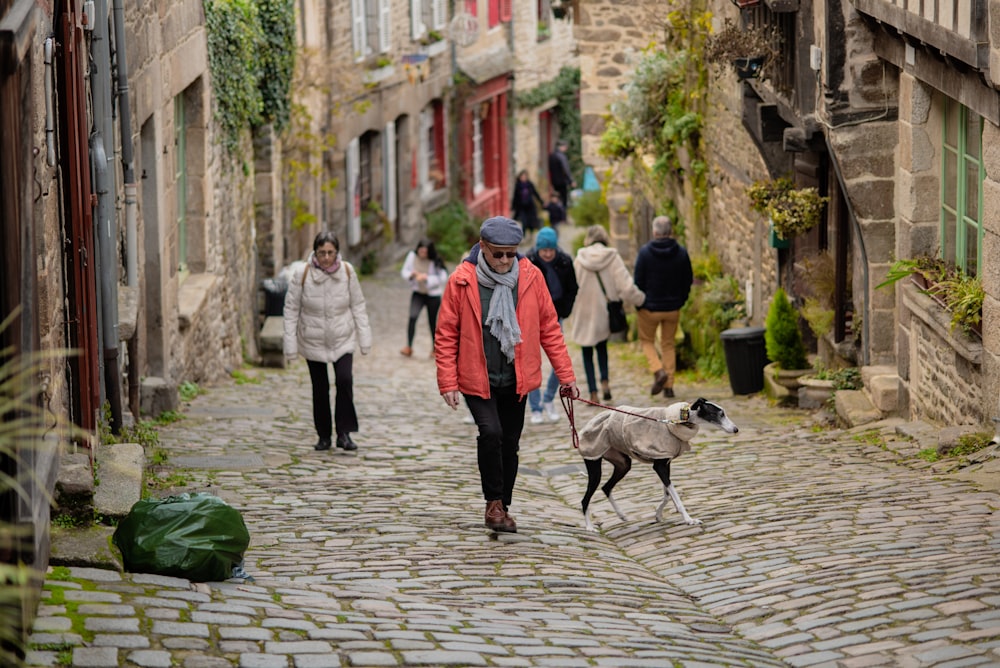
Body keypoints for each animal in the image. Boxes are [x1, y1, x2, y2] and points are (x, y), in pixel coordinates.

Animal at [576, 396, 740, 532]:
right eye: (720, 414)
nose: (736, 429)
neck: (678, 420)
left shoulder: (666, 463)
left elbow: (667, 495)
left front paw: (658, 515)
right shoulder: (659, 466)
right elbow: (675, 497)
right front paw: (689, 520)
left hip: (623, 464)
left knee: (606, 487)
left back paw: (621, 515)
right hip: (594, 465)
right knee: (585, 500)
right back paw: (589, 527)